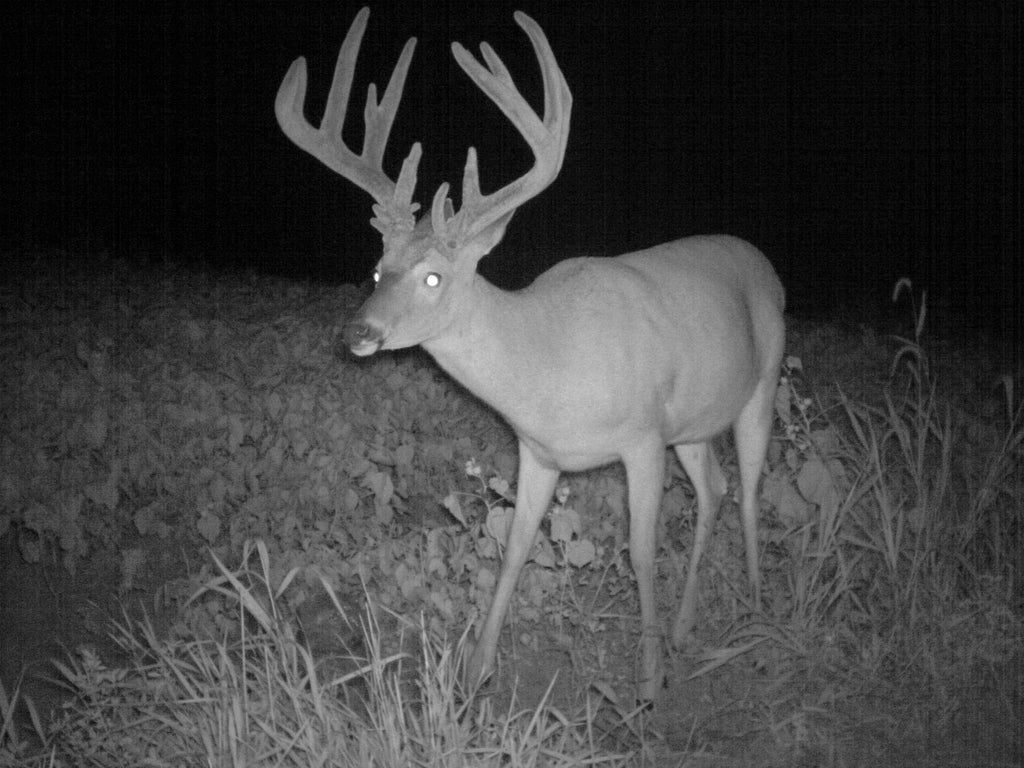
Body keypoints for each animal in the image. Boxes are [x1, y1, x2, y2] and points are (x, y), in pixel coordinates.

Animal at [276, 7, 785, 702]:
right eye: (378, 269)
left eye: (433, 277)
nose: (358, 333)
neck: (549, 362)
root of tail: (764, 264)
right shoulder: (538, 452)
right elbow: (513, 547)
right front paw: (475, 675)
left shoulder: (643, 436)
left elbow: (640, 548)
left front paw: (648, 681)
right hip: (694, 426)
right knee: (716, 488)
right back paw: (686, 628)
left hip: (761, 385)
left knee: (751, 491)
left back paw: (754, 615)